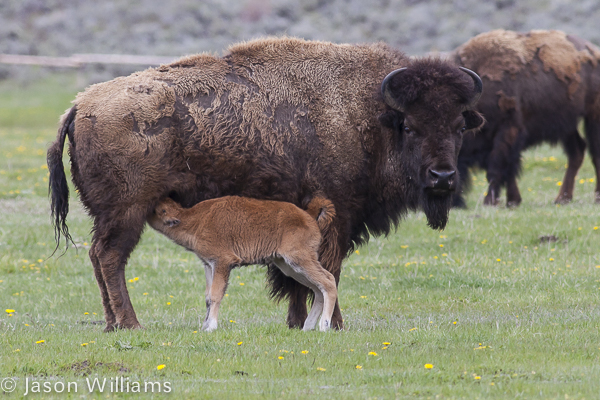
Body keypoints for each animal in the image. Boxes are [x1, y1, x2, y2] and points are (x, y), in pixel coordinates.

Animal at [147, 195, 338, 332]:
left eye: (160, 210)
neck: (196, 219)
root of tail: (309, 215)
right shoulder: (209, 265)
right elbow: (208, 297)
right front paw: (204, 326)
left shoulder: (222, 262)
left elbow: (216, 295)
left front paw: (211, 327)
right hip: (289, 266)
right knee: (318, 289)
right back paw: (307, 327)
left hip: (300, 260)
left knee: (328, 281)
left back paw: (324, 326)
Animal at [452, 29, 600, 208]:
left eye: (461, 128)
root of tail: (594, 51)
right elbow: (509, 169)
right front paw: (513, 201)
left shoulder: (508, 130)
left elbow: (497, 166)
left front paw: (490, 201)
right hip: (566, 123)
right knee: (576, 151)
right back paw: (562, 198)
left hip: (593, 117)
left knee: (595, 153)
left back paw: (595, 197)